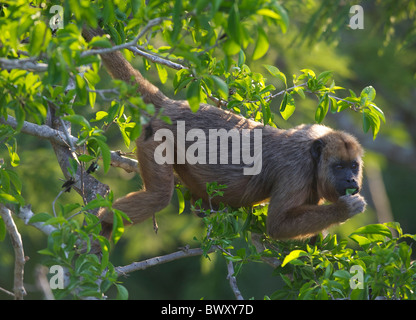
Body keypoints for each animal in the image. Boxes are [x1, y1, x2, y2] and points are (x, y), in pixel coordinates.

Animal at [82, 26, 368, 240]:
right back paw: (103, 222)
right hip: (157, 137)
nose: (352, 179)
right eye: (339, 167)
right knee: (157, 197)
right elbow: (277, 225)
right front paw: (343, 210)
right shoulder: (297, 171)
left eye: (353, 166)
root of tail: (170, 105)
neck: (313, 154)